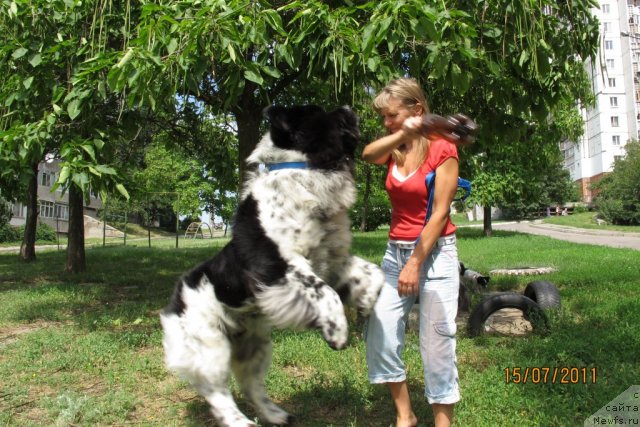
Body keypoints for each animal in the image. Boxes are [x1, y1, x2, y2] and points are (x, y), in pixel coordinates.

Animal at [161, 105, 384, 426]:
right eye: (323, 113)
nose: (348, 107)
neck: (305, 171)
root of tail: (175, 300)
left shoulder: (331, 261)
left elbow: (373, 273)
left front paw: (365, 303)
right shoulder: (278, 266)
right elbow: (325, 292)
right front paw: (337, 334)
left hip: (255, 345)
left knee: (250, 385)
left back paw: (276, 415)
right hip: (210, 347)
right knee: (217, 392)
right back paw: (240, 422)